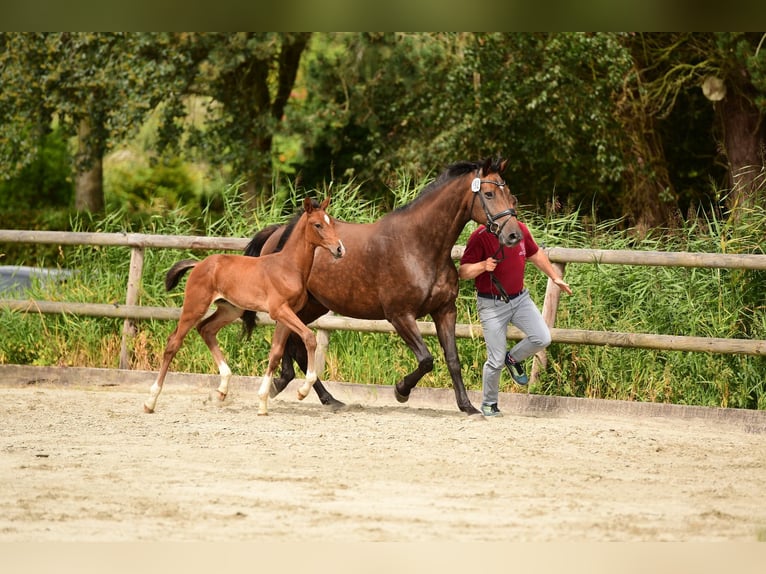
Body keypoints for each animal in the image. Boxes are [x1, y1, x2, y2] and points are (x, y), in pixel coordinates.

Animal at [143, 197, 346, 416]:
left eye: (331, 223)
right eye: (317, 225)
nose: (340, 249)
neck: (288, 267)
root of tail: (198, 265)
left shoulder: (287, 314)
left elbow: (275, 353)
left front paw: (263, 403)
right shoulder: (280, 311)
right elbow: (309, 338)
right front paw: (302, 391)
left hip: (230, 309)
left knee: (206, 329)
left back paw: (222, 389)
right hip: (195, 306)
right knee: (174, 343)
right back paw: (150, 401)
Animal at [242, 158, 522, 416]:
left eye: (510, 194)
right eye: (489, 194)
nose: (514, 235)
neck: (419, 246)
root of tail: (278, 233)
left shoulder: (444, 311)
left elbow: (452, 360)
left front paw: (467, 406)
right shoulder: (400, 316)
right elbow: (426, 360)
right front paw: (401, 391)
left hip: (313, 306)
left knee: (295, 343)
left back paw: (323, 397)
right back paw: (289, 386)